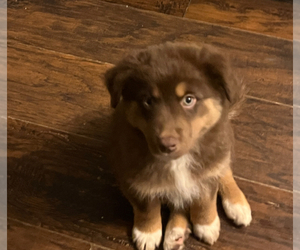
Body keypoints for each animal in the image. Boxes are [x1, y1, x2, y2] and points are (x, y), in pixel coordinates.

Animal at [104, 43, 252, 250]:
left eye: (188, 99)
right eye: (148, 101)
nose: (166, 145)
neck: (178, 161)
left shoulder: (207, 170)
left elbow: (205, 199)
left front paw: (206, 224)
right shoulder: (133, 178)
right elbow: (147, 207)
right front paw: (147, 233)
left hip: (221, 147)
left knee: (224, 169)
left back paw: (237, 204)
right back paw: (175, 233)